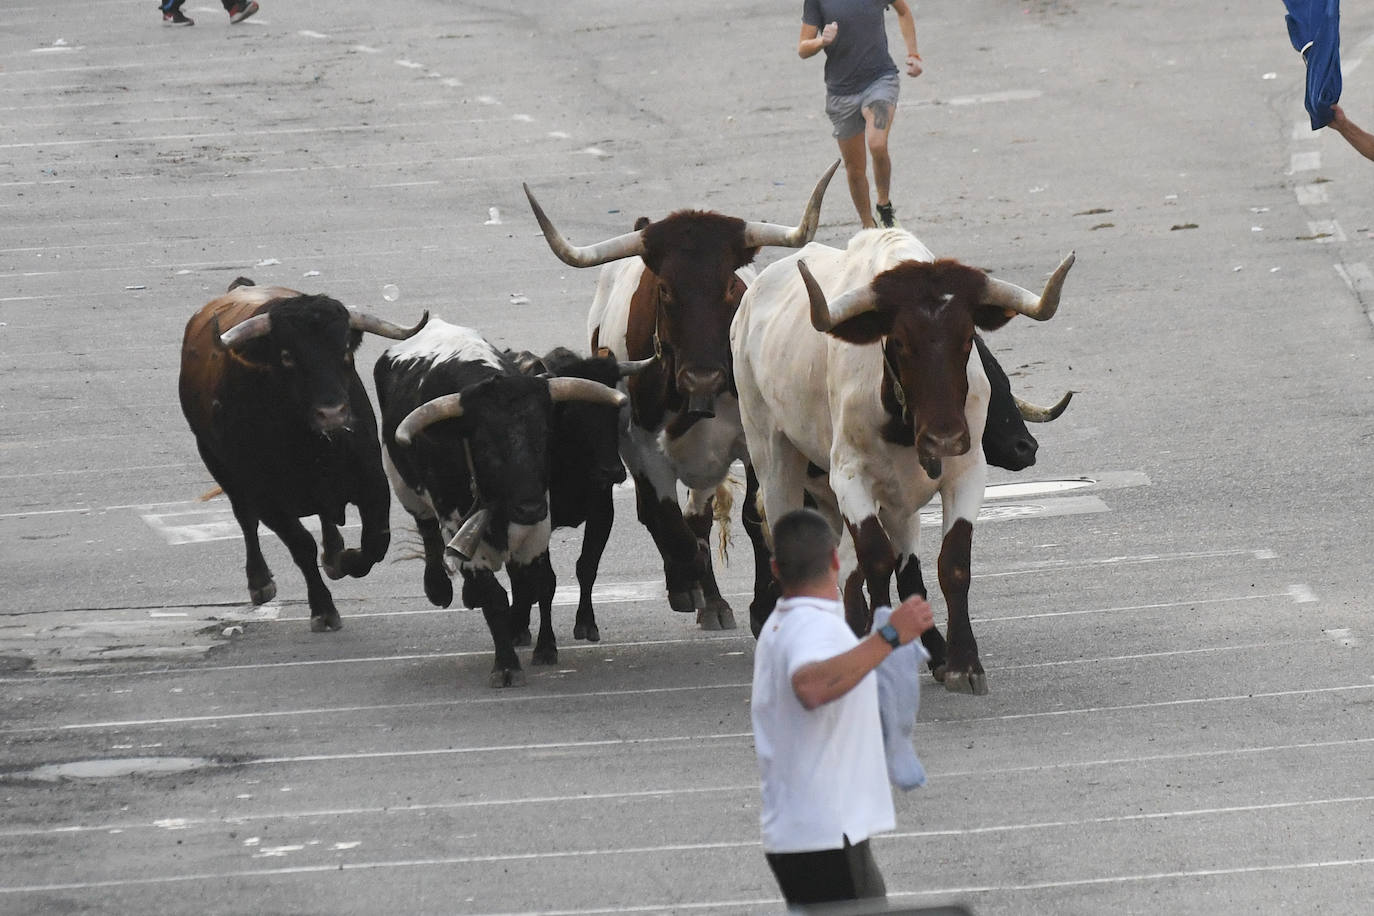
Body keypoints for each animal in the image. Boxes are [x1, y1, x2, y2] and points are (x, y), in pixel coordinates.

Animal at [179, 276, 423, 631]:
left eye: (345, 350)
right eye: (287, 356)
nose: (332, 414)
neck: (310, 446)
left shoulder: (373, 481)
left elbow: (375, 542)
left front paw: (345, 559)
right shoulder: (266, 498)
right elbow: (300, 545)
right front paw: (323, 609)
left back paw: (334, 554)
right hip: (218, 465)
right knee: (245, 520)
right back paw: (260, 582)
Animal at [376, 322, 632, 686]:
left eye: (546, 435)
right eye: (484, 444)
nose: (614, 471)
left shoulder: (558, 523)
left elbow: (551, 580)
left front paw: (548, 645)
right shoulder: (462, 529)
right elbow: (496, 596)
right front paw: (507, 664)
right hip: (403, 485)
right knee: (426, 527)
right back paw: (440, 588)